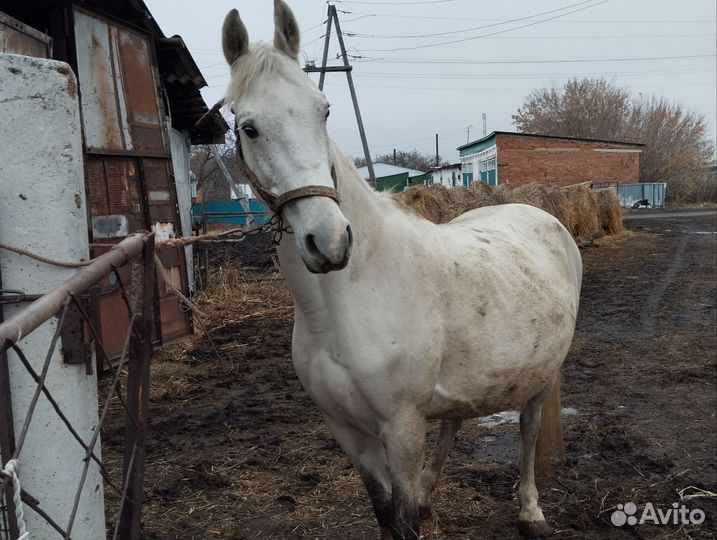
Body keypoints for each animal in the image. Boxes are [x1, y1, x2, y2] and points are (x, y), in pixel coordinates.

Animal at [221, 3, 582, 538]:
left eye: (323, 110)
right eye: (249, 127)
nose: (330, 241)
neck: (350, 300)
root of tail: (544, 216)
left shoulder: (403, 428)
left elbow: (405, 518)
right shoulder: (349, 432)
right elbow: (385, 513)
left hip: (541, 378)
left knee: (528, 432)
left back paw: (530, 511)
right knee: (456, 420)